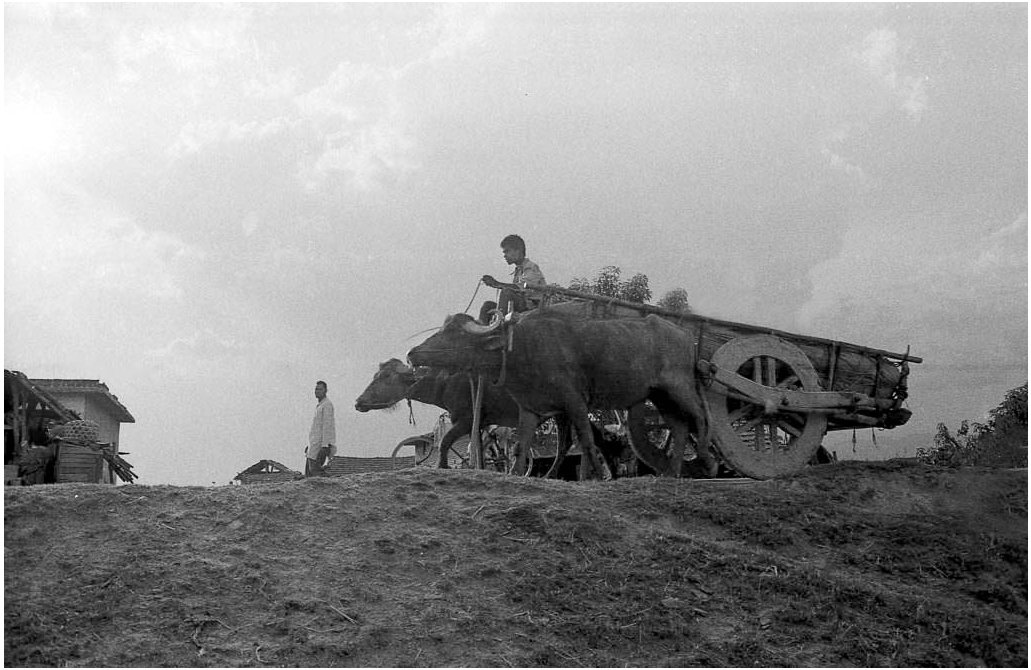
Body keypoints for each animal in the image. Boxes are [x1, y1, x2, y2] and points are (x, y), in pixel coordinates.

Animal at [406, 311, 713, 478]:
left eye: (454, 333)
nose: (412, 353)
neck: (520, 348)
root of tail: (686, 337)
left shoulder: (575, 402)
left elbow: (587, 440)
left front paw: (600, 474)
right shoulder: (531, 408)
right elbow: (521, 445)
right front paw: (516, 472)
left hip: (679, 387)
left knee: (700, 417)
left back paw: (707, 462)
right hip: (661, 396)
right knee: (680, 426)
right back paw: (673, 471)